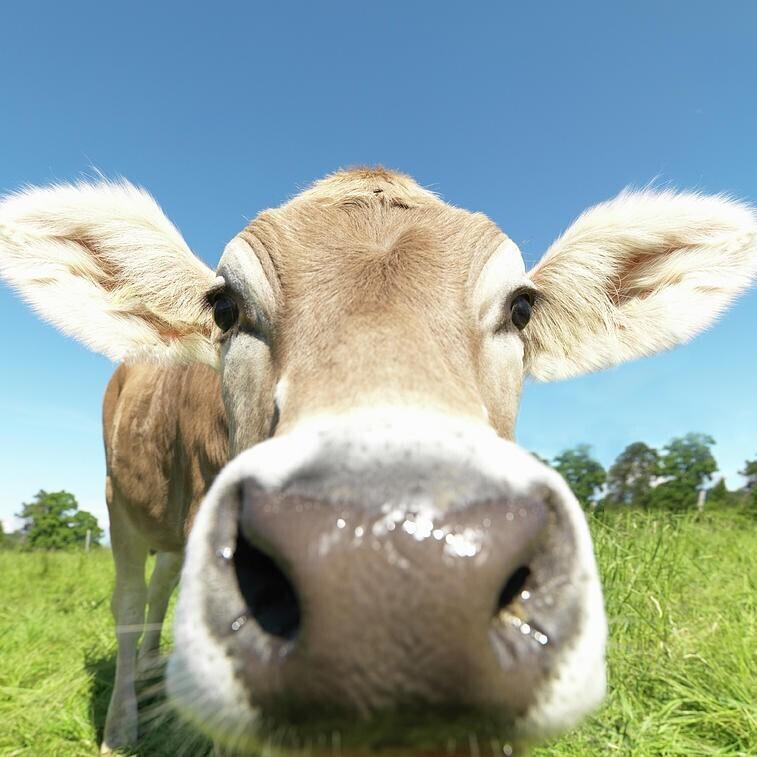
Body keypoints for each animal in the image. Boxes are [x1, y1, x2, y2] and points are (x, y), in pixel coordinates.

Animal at [1, 168, 755, 755]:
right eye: (224, 306)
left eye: (521, 307)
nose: (395, 577)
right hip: (116, 503)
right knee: (131, 603)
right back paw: (123, 723)